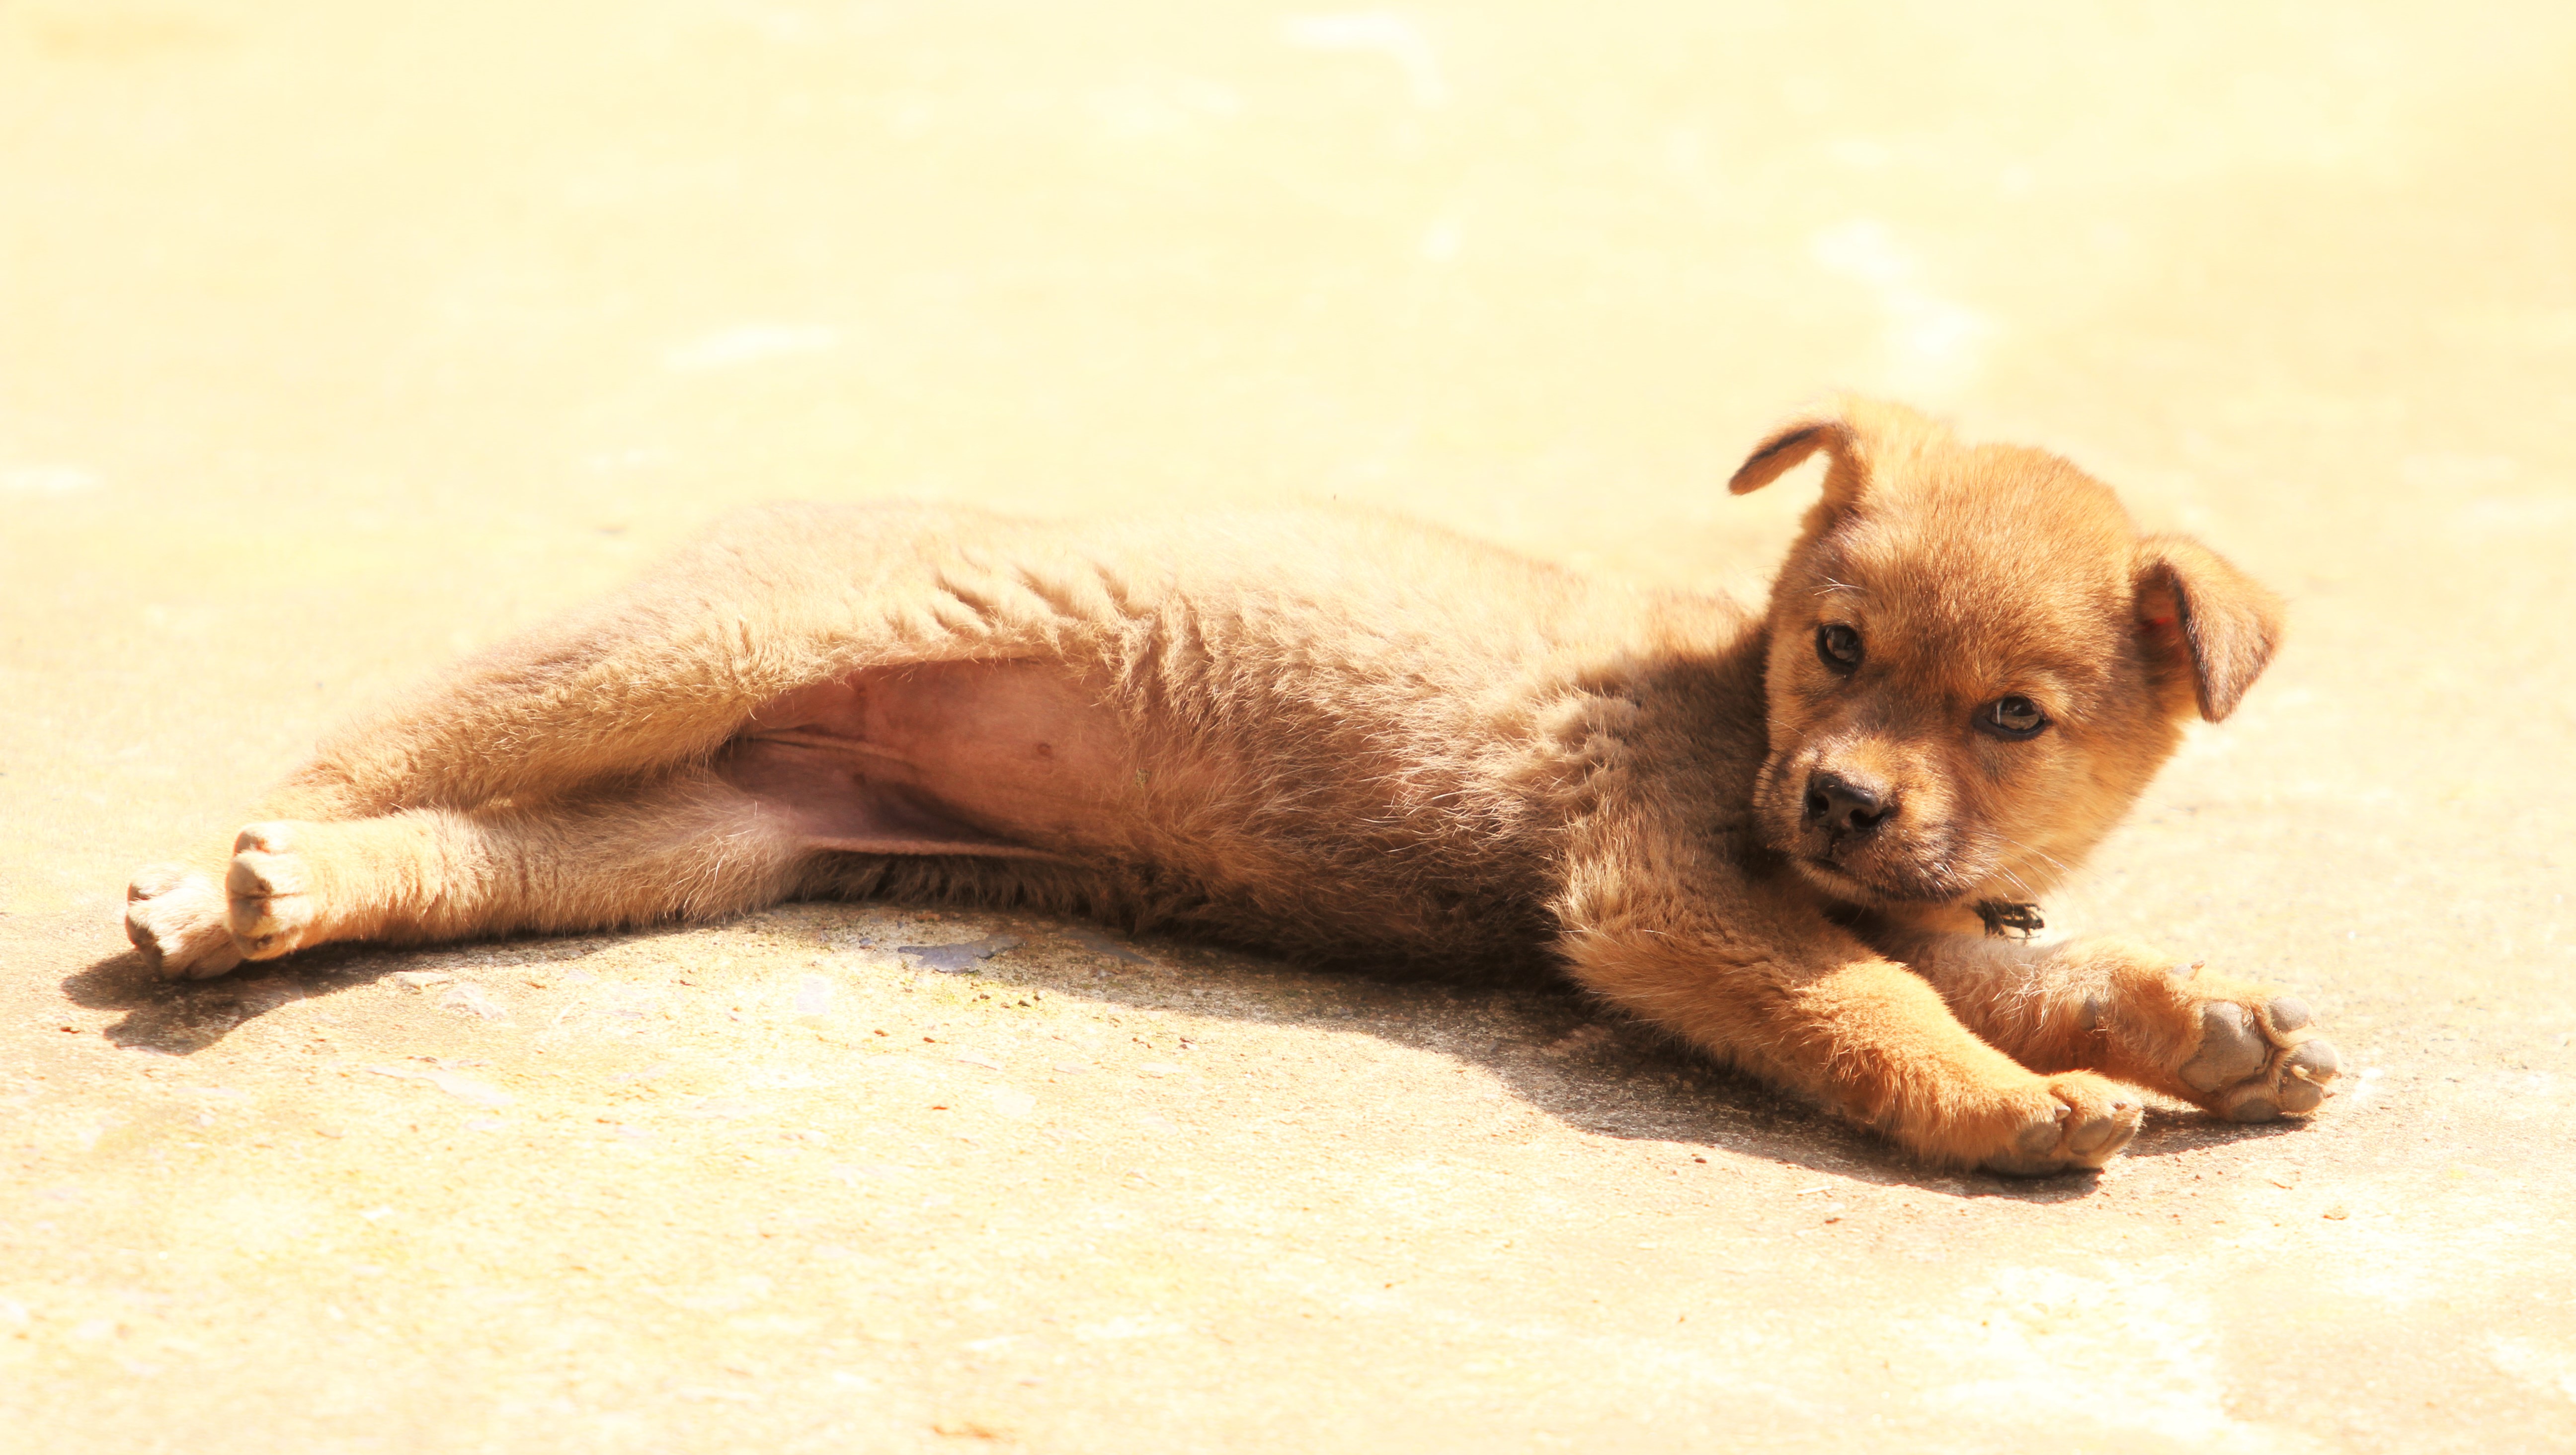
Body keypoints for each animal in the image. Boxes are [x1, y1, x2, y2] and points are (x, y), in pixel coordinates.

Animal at [121, 401, 2339, 1174]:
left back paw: (297, 895)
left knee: (456, 850)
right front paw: (2011, 1110)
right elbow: (1873, 1004)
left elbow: (2019, 962)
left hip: (682, 841)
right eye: (1841, 648)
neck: (1731, 699)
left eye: (2013, 717)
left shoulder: (1863, 891)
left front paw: (2207, 1028)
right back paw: (224, 893)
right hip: (678, 659)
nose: (1843, 804)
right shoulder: (1671, 896)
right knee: (372, 744)